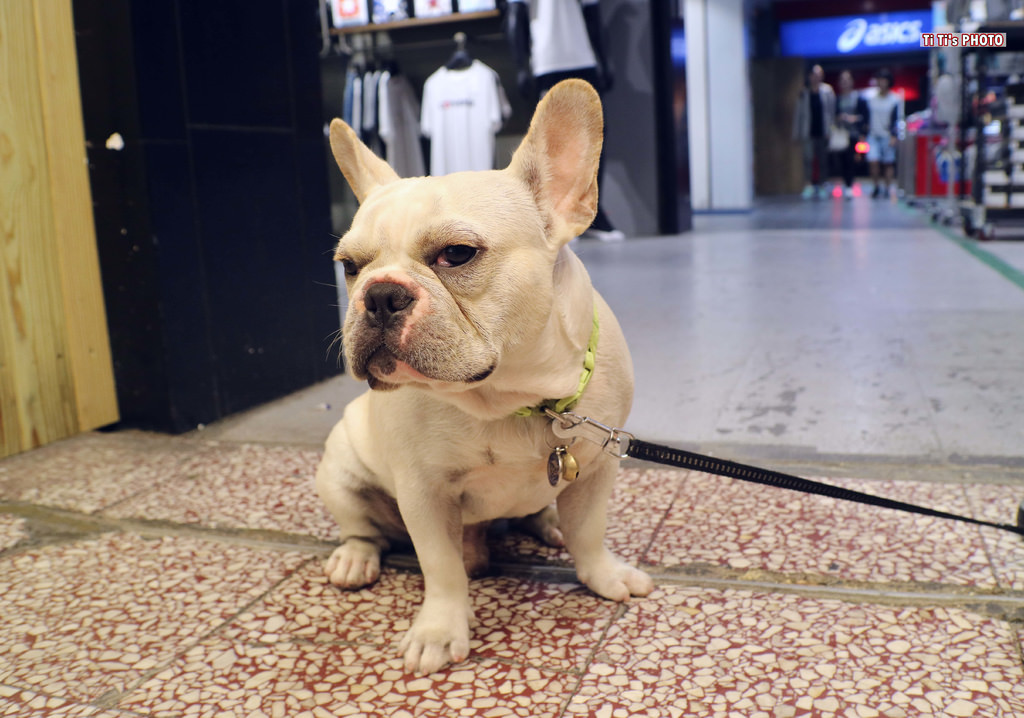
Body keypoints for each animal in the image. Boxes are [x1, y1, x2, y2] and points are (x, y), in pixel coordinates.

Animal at [315, 78, 651, 671]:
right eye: (349, 267)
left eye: (457, 254)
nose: (379, 294)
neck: (509, 396)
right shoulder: (423, 493)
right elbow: (441, 568)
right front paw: (439, 630)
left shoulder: (597, 468)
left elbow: (589, 532)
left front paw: (603, 576)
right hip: (340, 471)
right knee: (363, 529)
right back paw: (355, 559)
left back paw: (546, 523)